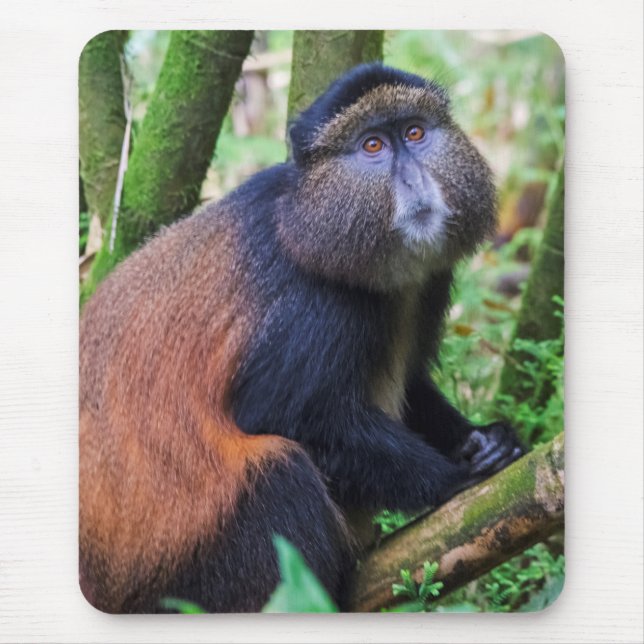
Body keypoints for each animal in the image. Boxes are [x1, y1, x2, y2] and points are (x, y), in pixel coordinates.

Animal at [79, 63, 525, 614]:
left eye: (415, 133)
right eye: (372, 146)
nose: (414, 180)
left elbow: (415, 384)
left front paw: (486, 440)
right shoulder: (312, 306)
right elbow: (279, 415)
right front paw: (454, 477)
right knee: (279, 472)